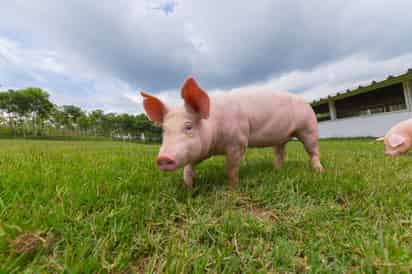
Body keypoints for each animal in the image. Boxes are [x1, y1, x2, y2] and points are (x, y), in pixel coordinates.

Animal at [142, 78, 326, 187]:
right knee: (281, 153)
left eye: (188, 127)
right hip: (281, 138)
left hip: (308, 128)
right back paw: (276, 170)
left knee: (313, 150)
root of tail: (307, 103)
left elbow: (231, 167)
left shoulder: (239, 141)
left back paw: (319, 171)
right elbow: (189, 167)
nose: (163, 158)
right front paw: (188, 186)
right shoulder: (200, 151)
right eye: (164, 130)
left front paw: (233, 186)